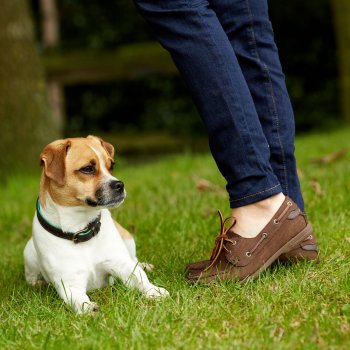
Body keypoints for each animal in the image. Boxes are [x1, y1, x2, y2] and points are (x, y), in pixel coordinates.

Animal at [23, 135, 169, 314]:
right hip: (28, 253)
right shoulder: (69, 284)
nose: (120, 185)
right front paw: (88, 308)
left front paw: (154, 291)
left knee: (134, 259)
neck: (81, 228)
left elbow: (140, 277)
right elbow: (78, 299)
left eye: (111, 165)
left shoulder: (121, 265)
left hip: (127, 238)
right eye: (87, 169)